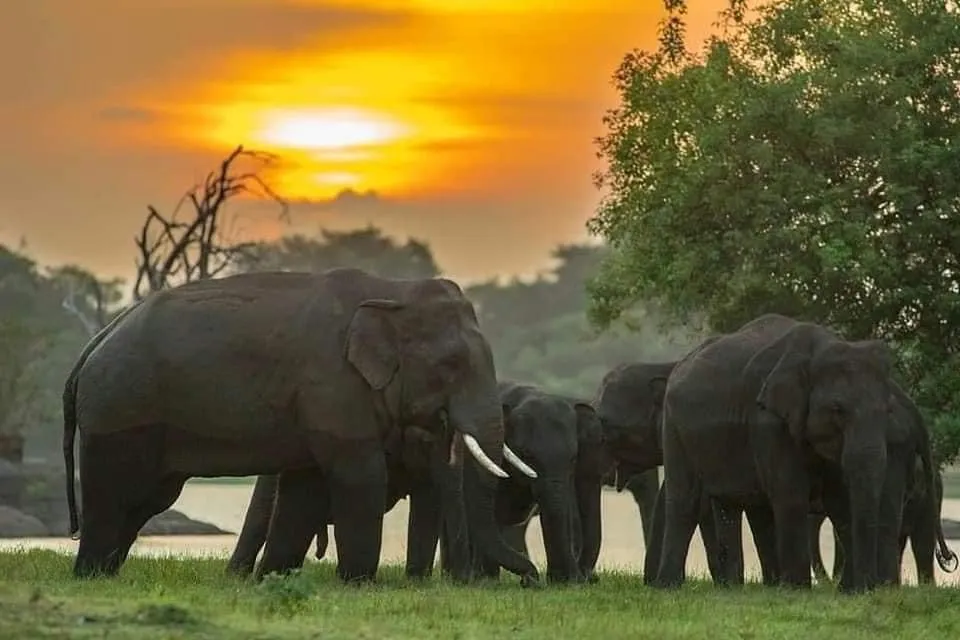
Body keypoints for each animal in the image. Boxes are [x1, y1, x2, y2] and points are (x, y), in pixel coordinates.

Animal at [62, 268, 540, 584]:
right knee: (115, 488)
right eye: (451, 364)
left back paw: (106, 572)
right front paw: (358, 584)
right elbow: (359, 474)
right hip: (119, 406)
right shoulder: (332, 384)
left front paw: (272, 580)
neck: (392, 291)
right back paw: (90, 575)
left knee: (147, 497)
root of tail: (96, 340)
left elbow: (306, 484)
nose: (532, 578)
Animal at [654, 313, 934, 592]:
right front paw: (799, 590)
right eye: (837, 409)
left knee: (738, 506)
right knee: (686, 500)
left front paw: (849, 591)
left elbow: (839, 498)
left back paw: (745, 588)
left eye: (888, 410)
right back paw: (670, 586)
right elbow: (791, 493)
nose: (867, 588)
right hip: (673, 426)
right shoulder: (768, 420)